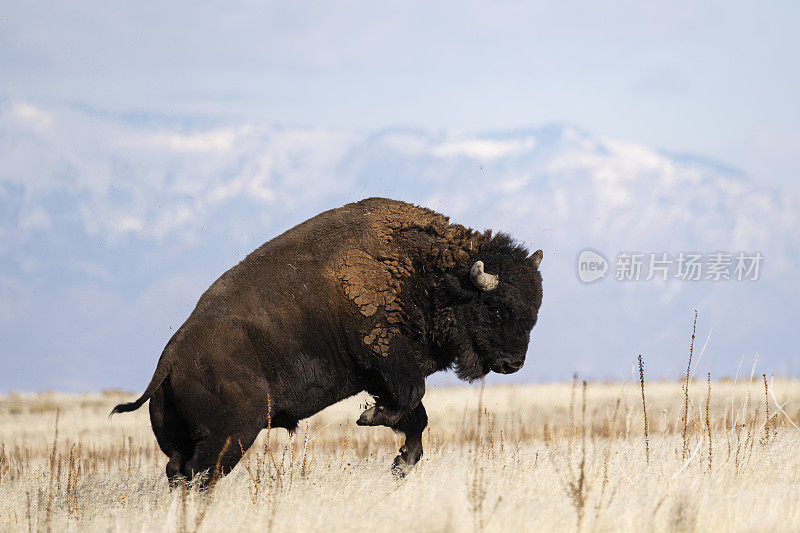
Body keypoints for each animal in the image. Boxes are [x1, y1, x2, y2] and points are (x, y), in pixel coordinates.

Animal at [112, 197, 544, 484]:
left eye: (534, 309)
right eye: (498, 308)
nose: (513, 363)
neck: (426, 273)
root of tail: (170, 357)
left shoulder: (381, 376)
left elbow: (416, 416)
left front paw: (402, 462)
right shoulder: (388, 362)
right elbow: (409, 401)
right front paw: (370, 419)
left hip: (180, 437)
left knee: (177, 472)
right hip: (232, 434)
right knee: (200, 475)